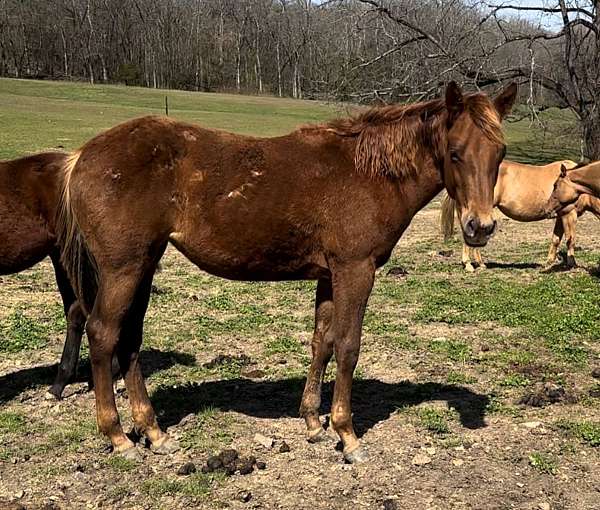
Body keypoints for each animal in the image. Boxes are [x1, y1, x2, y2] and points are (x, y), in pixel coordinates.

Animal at [55, 80, 516, 462]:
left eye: (500, 154)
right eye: (455, 152)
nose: (480, 227)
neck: (368, 172)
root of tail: (80, 157)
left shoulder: (329, 275)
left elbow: (322, 343)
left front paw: (314, 422)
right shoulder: (355, 269)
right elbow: (348, 346)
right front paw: (348, 435)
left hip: (143, 266)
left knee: (129, 339)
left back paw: (153, 431)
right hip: (123, 269)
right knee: (103, 334)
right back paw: (118, 436)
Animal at [440, 159, 600, 270]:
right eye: (554, 186)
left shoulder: (560, 217)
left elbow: (555, 239)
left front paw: (548, 262)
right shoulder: (569, 215)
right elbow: (570, 239)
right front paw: (572, 264)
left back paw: (479, 263)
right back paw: (470, 265)